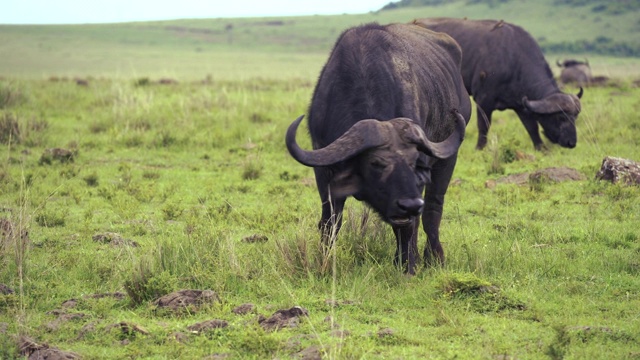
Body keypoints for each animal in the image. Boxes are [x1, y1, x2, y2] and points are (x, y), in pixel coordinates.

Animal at [284, 22, 470, 274]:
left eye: (414, 163)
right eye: (376, 163)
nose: (410, 205)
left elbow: (408, 227)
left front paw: (408, 266)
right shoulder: (323, 171)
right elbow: (330, 222)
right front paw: (325, 262)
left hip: (447, 160)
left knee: (432, 209)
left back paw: (433, 258)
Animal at [412, 17, 584, 150]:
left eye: (575, 117)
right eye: (561, 117)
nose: (571, 142)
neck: (513, 59)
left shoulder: (521, 105)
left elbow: (532, 127)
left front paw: (541, 148)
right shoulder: (483, 100)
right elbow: (483, 126)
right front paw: (480, 148)